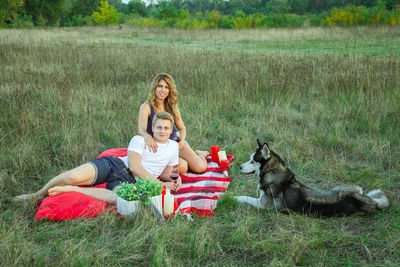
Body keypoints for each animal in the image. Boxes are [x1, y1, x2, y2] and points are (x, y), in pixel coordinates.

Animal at [234, 140, 390, 218]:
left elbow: (245, 197)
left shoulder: (263, 204)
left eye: (252, 161)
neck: (273, 170)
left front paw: (233, 197)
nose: (239, 166)